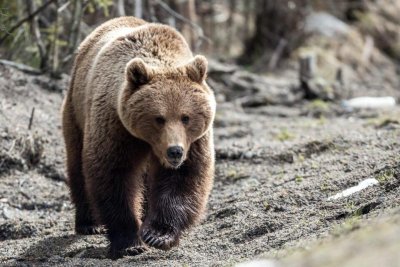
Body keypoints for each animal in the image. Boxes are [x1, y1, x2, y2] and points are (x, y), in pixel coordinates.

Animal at [61, 17, 216, 260]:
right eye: (159, 118)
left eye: (186, 117)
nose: (175, 151)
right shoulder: (116, 126)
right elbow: (113, 175)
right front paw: (129, 242)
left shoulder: (195, 142)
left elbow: (184, 177)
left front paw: (157, 234)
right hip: (76, 110)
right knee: (77, 163)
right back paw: (88, 223)